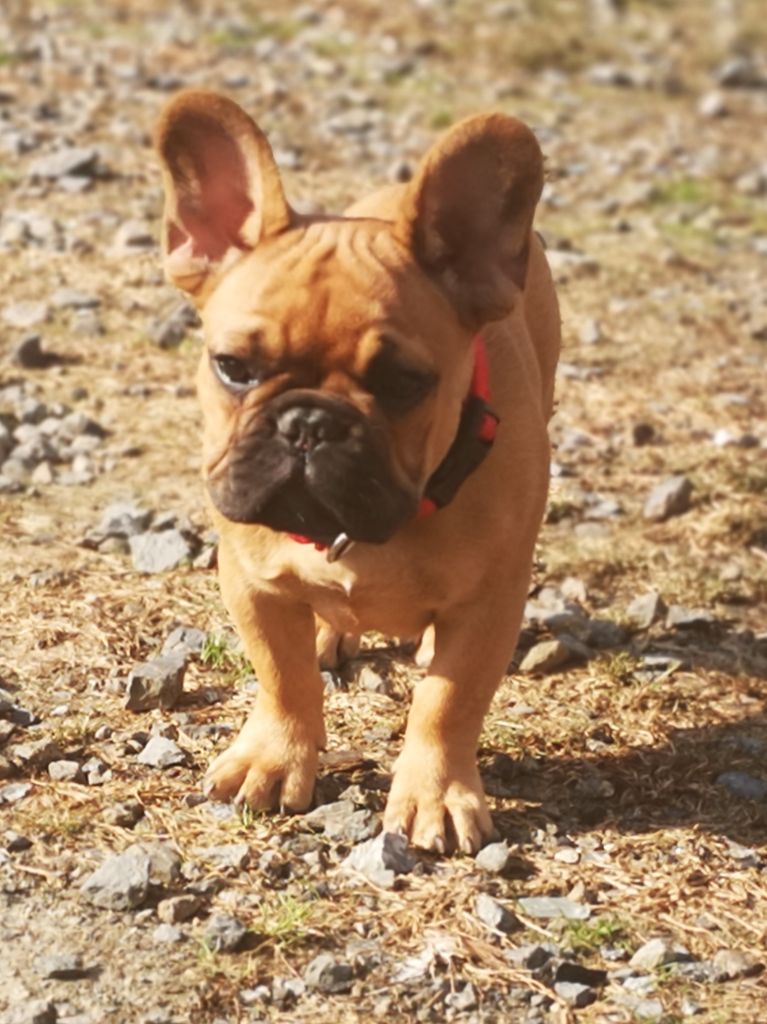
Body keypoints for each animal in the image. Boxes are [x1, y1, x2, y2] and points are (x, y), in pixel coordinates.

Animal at [155, 90, 560, 854]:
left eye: (404, 383)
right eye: (233, 366)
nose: (308, 424)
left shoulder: (490, 605)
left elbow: (448, 700)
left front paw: (435, 793)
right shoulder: (251, 584)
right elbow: (282, 677)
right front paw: (274, 758)